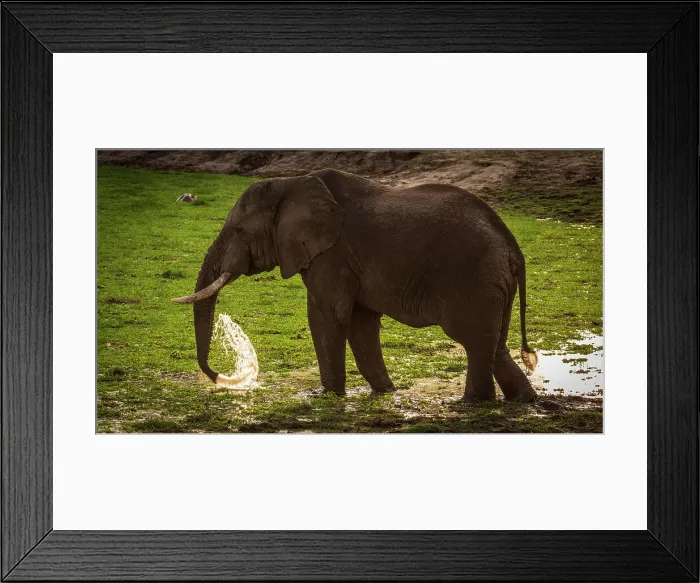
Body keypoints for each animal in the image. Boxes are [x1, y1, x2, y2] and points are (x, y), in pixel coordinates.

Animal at [172, 168, 538, 402]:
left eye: (239, 231)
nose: (225, 377)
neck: (291, 183)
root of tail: (512, 246)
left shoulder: (331, 253)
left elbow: (326, 316)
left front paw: (326, 396)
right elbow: (361, 322)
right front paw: (385, 392)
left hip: (473, 279)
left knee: (475, 341)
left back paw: (471, 404)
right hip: (493, 284)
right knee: (493, 344)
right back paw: (522, 401)